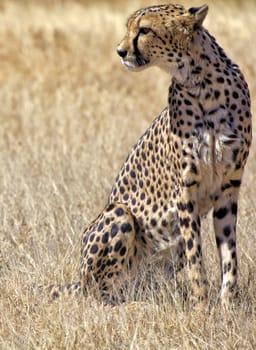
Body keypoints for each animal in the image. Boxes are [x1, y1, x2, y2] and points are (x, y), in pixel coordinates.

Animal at [44, 3, 252, 308]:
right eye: (129, 27)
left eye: (144, 30)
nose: (119, 51)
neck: (202, 83)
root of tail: (78, 280)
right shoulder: (184, 191)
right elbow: (197, 260)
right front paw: (202, 308)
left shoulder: (229, 186)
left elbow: (229, 256)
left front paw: (227, 307)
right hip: (119, 214)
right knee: (98, 296)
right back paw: (134, 306)